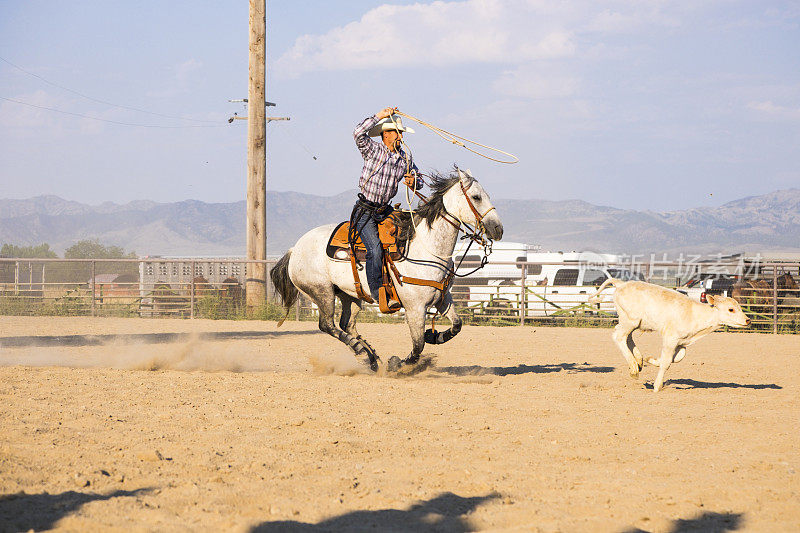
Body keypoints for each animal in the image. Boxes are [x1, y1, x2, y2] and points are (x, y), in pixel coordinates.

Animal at [272, 169, 504, 370]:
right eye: (476, 197)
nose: (498, 229)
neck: (425, 248)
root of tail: (295, 249)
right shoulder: (414, 308)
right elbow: (418, 345)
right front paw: (397, 363)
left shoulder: (443, 298)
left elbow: (457, 325)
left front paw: (433, 335)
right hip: (322, 292)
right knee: (327, 325)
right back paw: (362, 352)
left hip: (350, 295)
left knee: (347, 324)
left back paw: (371, 357)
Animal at [588, 278, 752, 390]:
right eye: (731, 309)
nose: (748, 320)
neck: (695, 315)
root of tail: (621, 284)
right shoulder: (670, 338)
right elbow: (667, 362)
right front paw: (657, 386)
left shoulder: (681, 343)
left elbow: (677, 358)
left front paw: (651, 360)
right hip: (630, 320)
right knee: (619, 336)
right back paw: (634, 368)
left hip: (632, 322)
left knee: (627, 337)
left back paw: (639, 361)